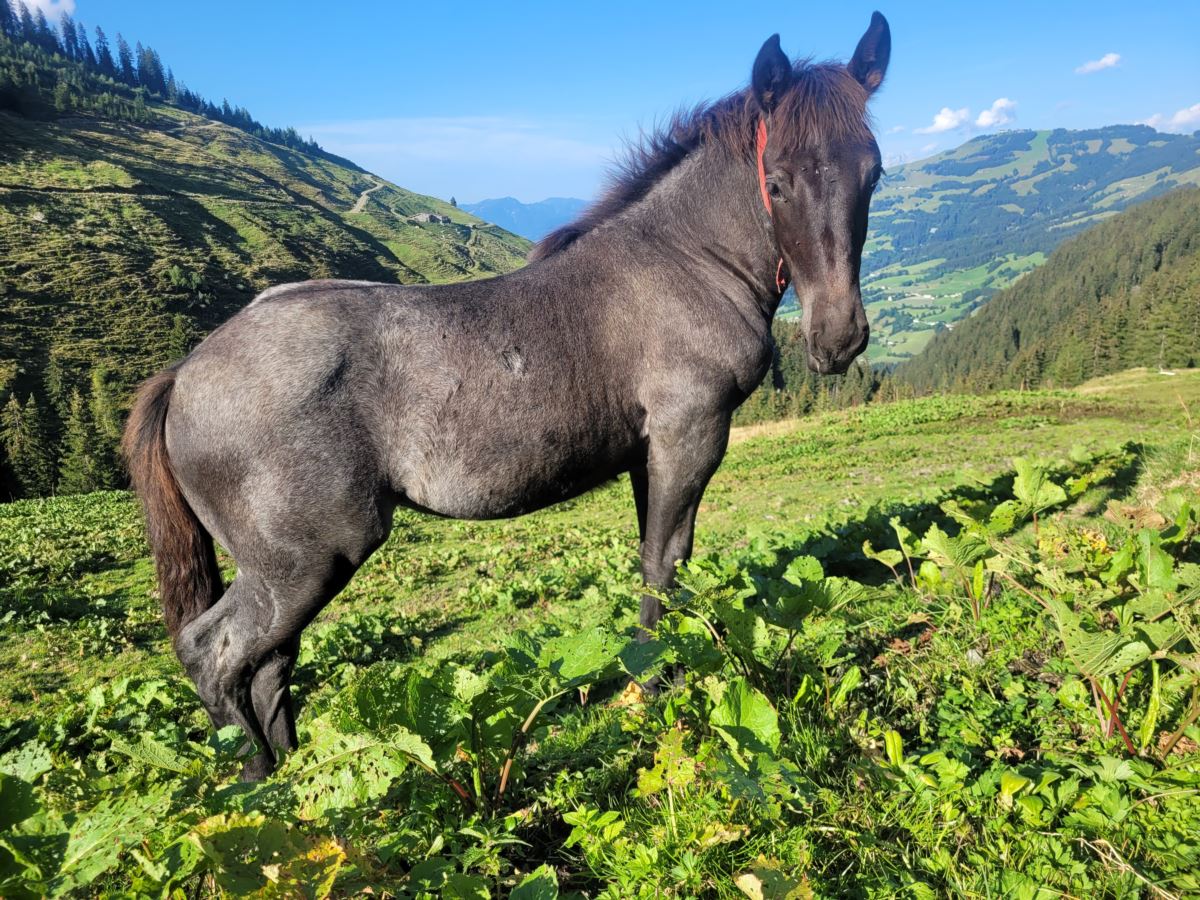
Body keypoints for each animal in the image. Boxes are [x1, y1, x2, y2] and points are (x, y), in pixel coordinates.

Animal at [124, 12, 892, 782]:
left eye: (874, 171)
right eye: (778, 181)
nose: (839, 338)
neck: (686, 262)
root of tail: (183, 374)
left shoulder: (650, 452)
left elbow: (659, 557)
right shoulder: (690, 435)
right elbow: (663, 562)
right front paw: (653, 685)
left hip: (284, 569)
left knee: (268, 664)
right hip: (306, 559)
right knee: (214, 653)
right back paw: (257, 784)